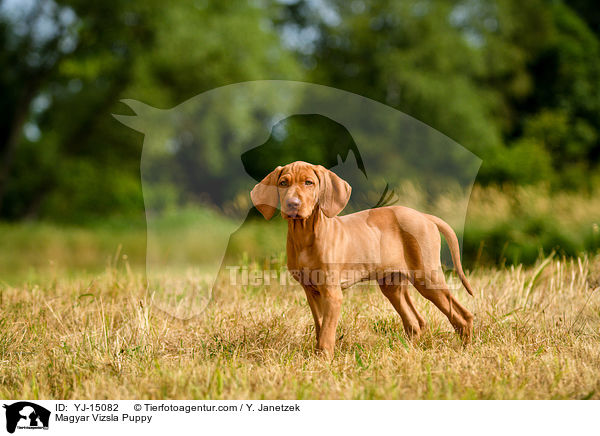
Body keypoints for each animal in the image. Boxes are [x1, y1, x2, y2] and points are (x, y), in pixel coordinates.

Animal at [251, 160, 476, 358]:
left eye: (309, 183)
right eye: (283, 183)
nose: (292, 204)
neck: (305, 235)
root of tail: (424, 216)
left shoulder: (332, 293)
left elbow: (326, 334)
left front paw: (323, 361)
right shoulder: (311, 291)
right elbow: (320, 327)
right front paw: (316, 358)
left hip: (427, 277)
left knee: (463, 317)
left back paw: (465, 352)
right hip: (392, 284)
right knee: (416, 323)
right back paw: (406, 353)